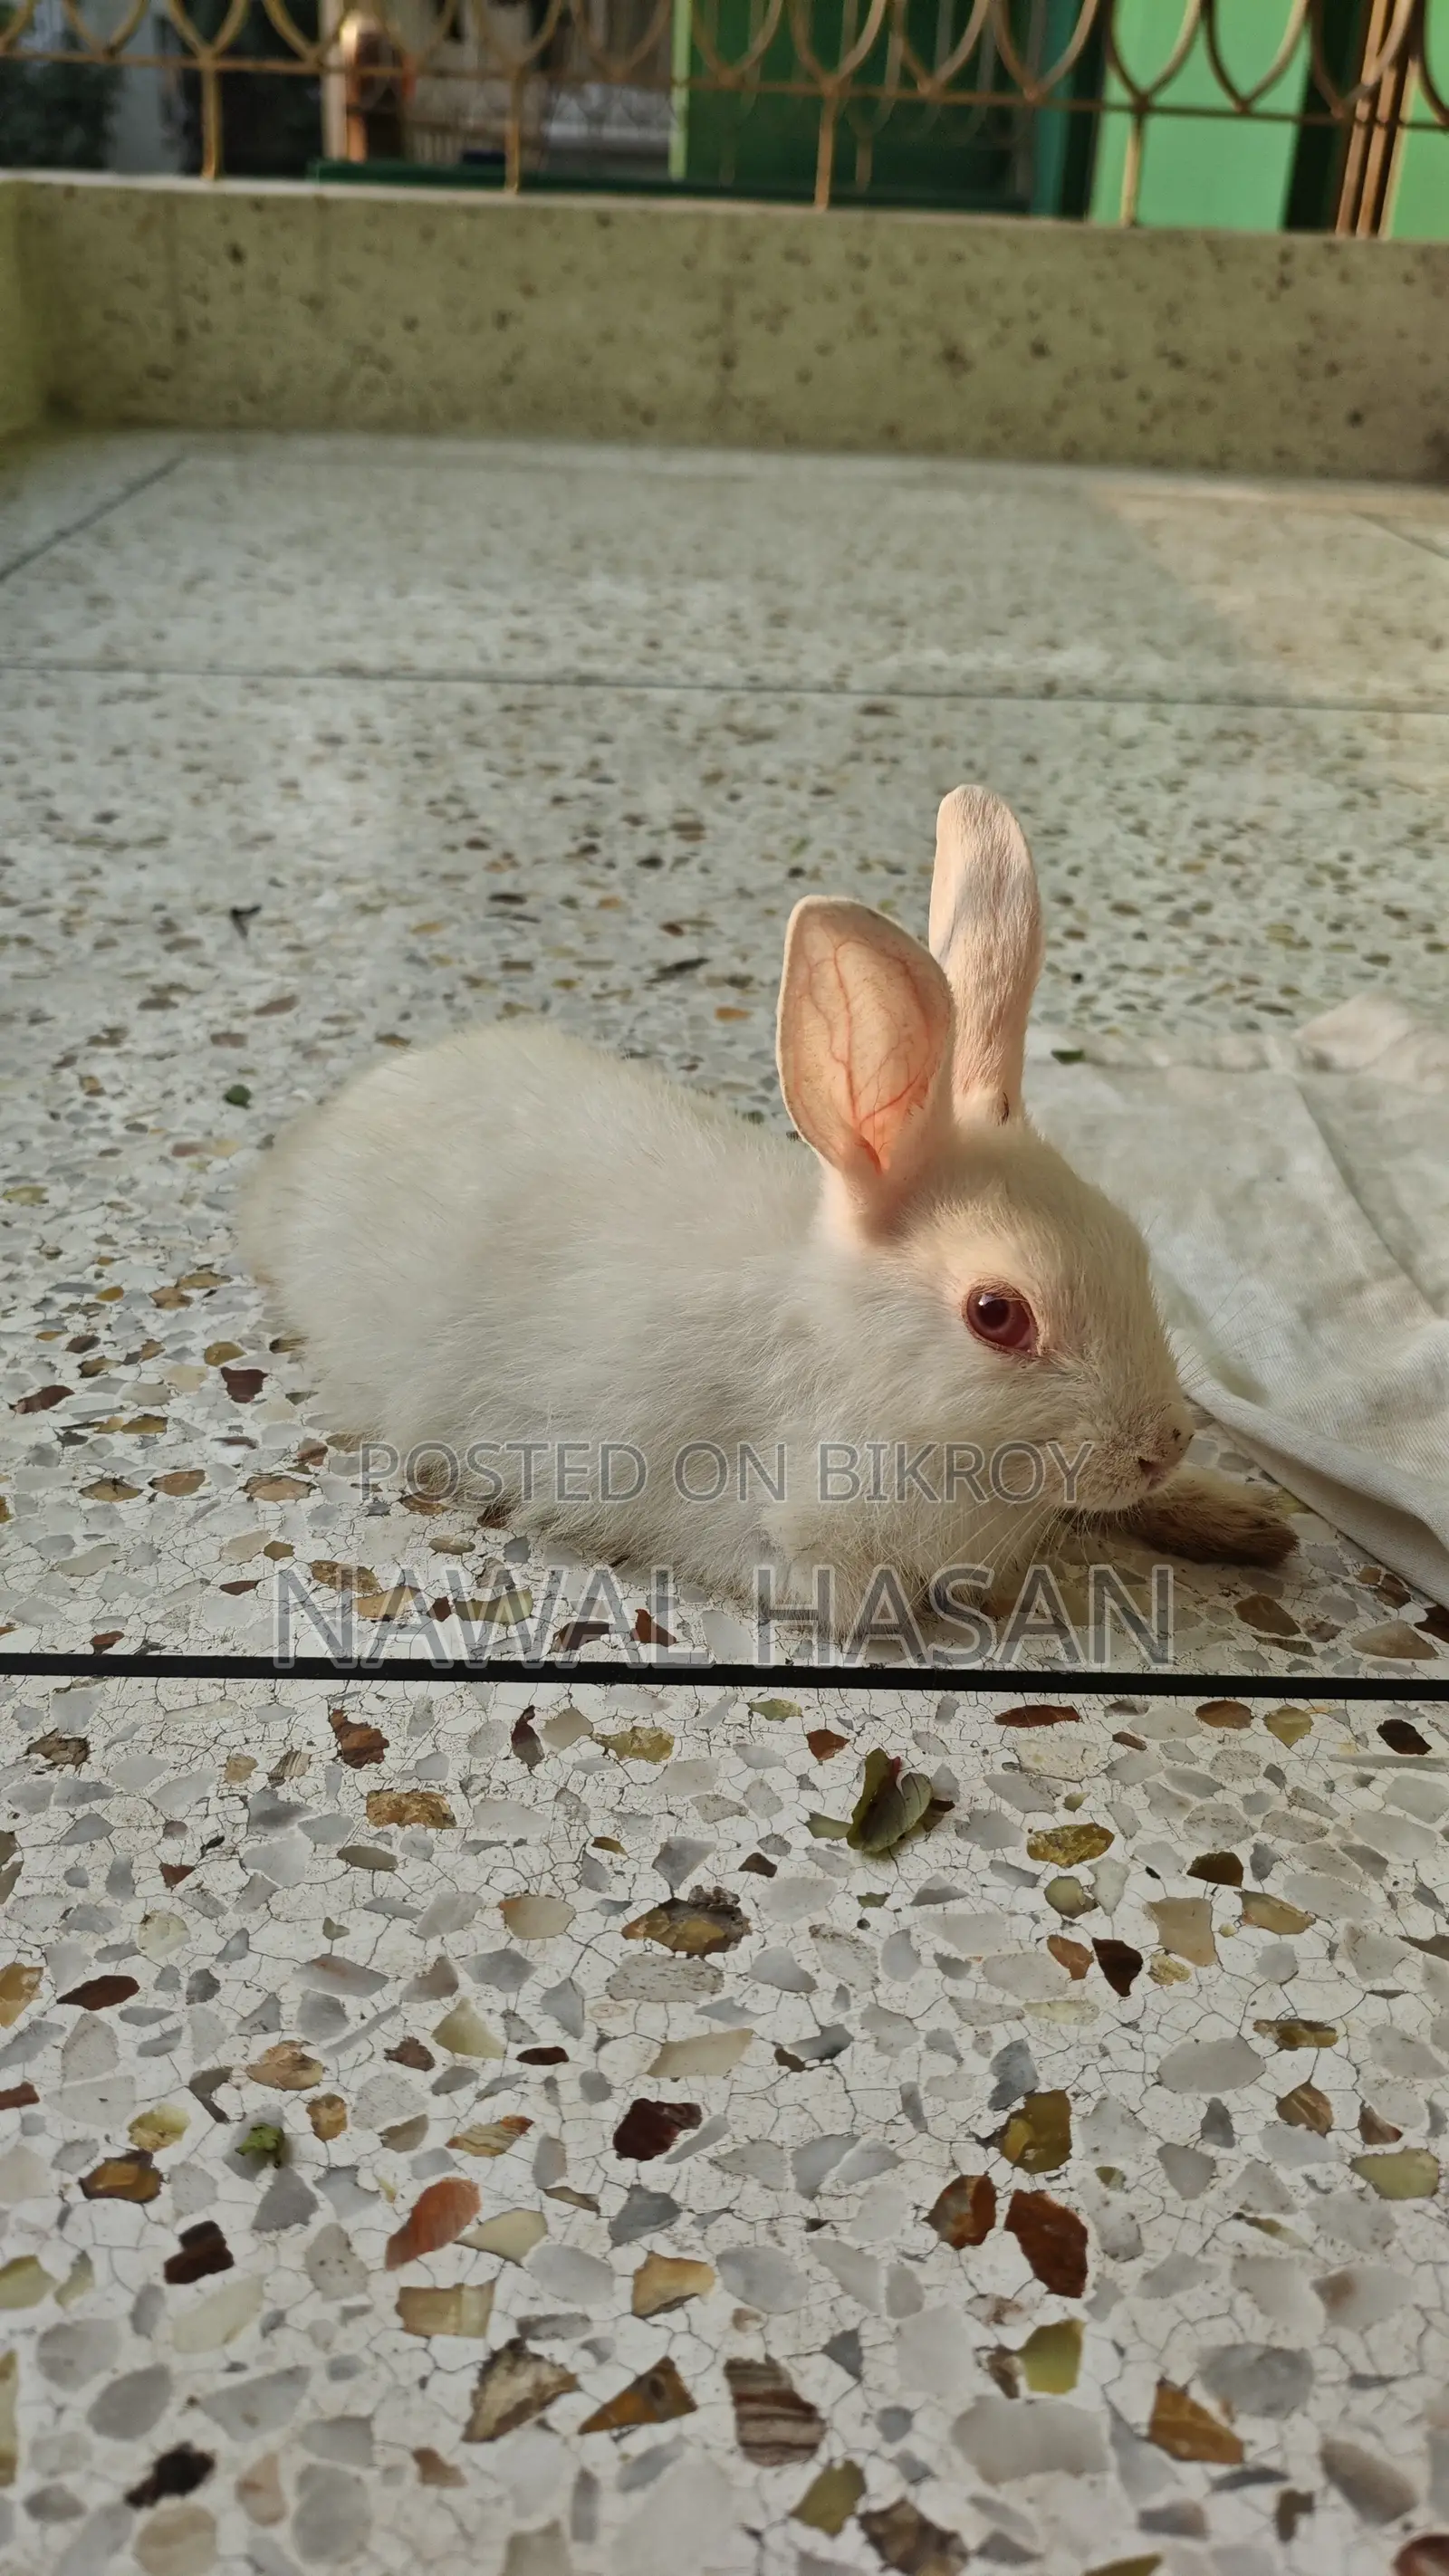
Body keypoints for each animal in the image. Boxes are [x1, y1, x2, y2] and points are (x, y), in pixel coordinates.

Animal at [239, 785, 1295, 1639]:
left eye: (1131, 1239)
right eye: (997, 1316)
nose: (1162, 1445)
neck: (862, 1364)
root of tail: (328, 1130)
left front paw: (1247, 1522)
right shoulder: (782, 1537)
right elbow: (870, 1596)